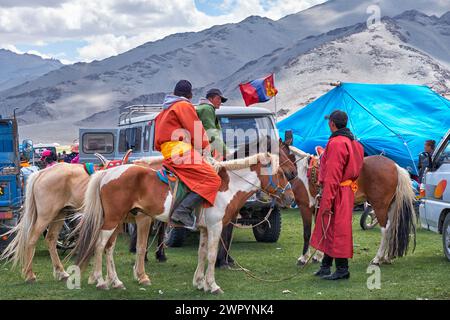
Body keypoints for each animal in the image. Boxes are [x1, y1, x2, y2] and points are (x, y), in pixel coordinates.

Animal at [0, 151, 165, 284]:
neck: (146, 179)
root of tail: (41, 173)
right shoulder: (143, 219)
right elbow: (141, 246)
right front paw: (142, 276)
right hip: (45, 216)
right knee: (32, 239)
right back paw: (30, 275)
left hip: (60, 214)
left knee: (51, 239)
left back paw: (61, 272)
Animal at [71, 154, 294, 294]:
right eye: (281, 174)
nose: (290, 197)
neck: (225, 188)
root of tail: (106, 173)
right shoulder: (215, 227)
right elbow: (212, 255)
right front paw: (213, 285)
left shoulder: (205, 229)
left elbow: (202, 254)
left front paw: (200, 283)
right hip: (113, 220)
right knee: (100, 246)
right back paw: (100, 281)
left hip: (118, 220)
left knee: (108, 248)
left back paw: (116, 282)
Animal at [280, 141, 416, 266]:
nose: (291, 173)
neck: (302, 172)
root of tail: (395, 166)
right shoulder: (318, 207)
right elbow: (320, 231)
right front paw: (318, 256)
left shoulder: (305, 207)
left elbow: (307, 233)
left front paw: (304, 258)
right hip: (391, 206)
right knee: (393, 227)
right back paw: (388, 257)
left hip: (380, 206)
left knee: (385, 229)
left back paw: (378, 258)